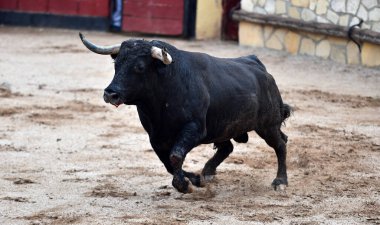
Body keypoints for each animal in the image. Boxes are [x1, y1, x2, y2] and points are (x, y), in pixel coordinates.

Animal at [79, 33, 290, 193]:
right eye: (116, 65)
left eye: (139, 67)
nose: (110, 94)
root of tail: (260, 67)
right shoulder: (156, 137)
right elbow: (168, 163)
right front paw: (195, 179)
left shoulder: (194, 129)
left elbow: (175, 156)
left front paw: (184, 184)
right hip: (221, 127)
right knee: (227, 147)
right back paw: (207, 173)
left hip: (267, 125)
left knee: (280, 144)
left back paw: (280, 181)